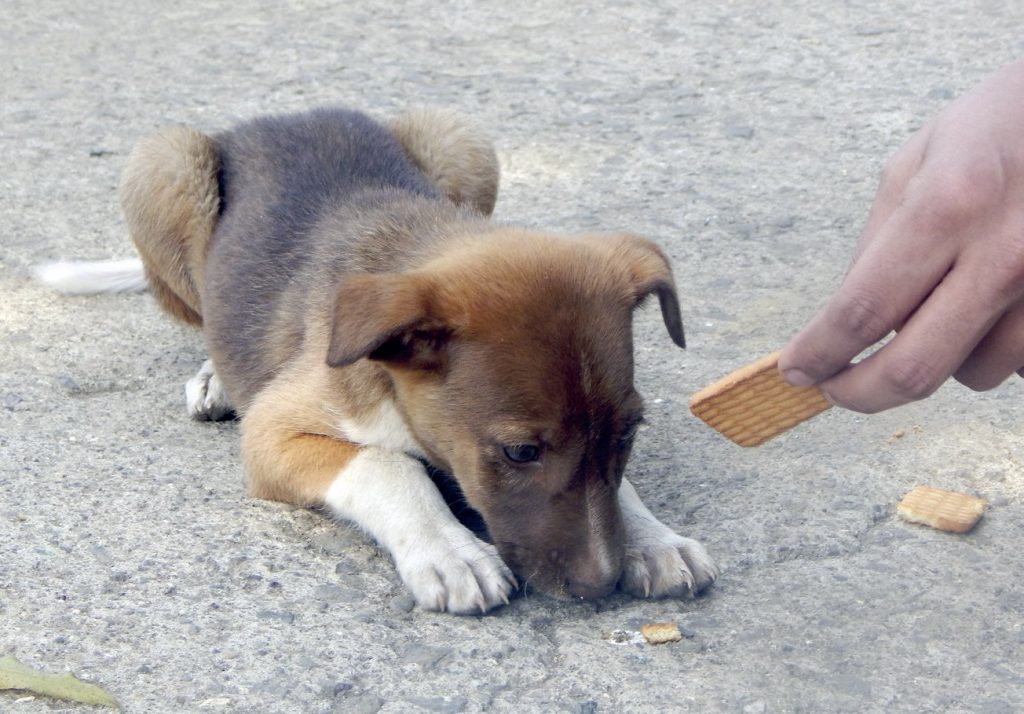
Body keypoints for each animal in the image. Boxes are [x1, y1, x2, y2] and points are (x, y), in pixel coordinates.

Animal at [44, 107, 716, 614]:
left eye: (629, 431)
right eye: (521, 452)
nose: (599, 586)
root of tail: (278, 117)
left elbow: (617, 484)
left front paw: (655, 538)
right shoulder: (274, 435)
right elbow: (386, 466)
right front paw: (449, 550)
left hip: (461, 138)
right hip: (163, 167)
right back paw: (219, 379)